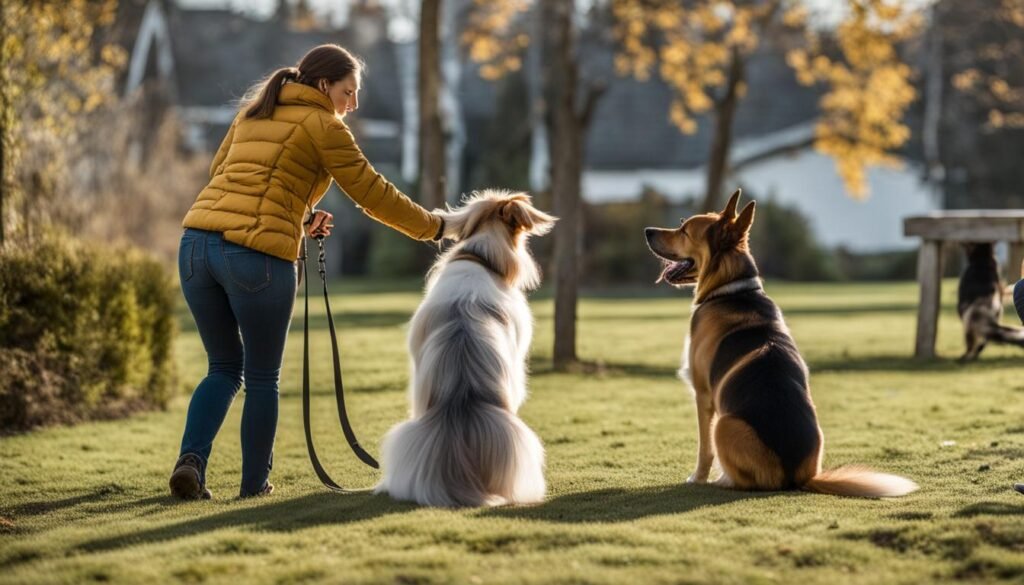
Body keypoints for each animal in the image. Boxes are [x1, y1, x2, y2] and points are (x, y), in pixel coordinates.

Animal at [643, 189, 917, 495]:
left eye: (684, 229)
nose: (647, 231)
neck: (731, 290)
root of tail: (798, 477)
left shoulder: (702, 395)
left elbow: (704, 449)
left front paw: (697, 477)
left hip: (724, 424)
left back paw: (721, 480)